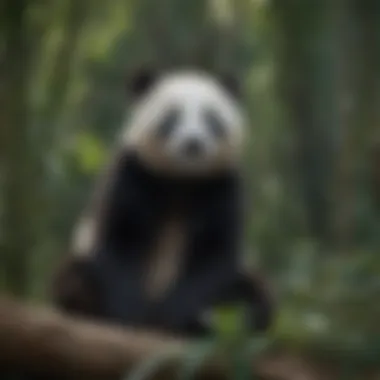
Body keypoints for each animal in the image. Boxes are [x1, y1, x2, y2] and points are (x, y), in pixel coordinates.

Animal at [52, 68, 274, 336]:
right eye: (172, 118)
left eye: (212, 120)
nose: (193, 144)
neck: (182, 180)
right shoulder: (133, 174)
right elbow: (121, 241)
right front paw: (129, 313)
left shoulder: (222, 186)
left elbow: (214, 253)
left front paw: (174, 315)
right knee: (75, 275)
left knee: (251, 294)